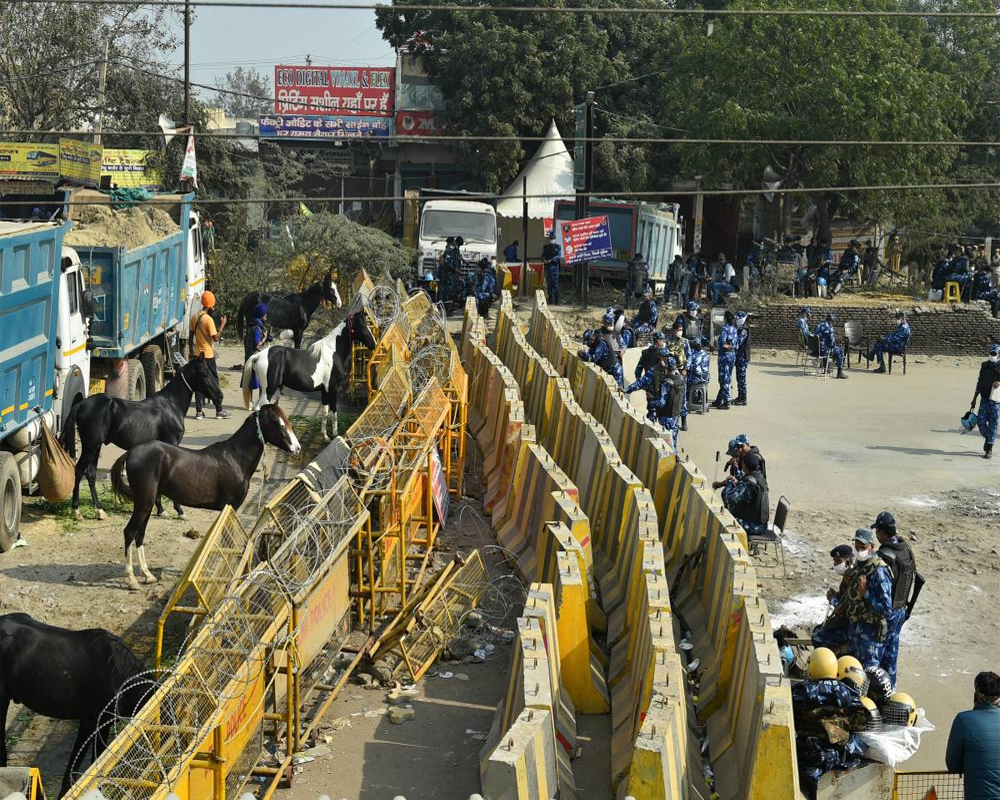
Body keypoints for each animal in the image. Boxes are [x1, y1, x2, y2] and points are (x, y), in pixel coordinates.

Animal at [111, 406, 300, 588]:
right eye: (277, 422)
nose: (297, 448)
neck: (235, 459)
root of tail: (131, 453)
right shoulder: (230, 507)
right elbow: (228, 544)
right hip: (143, 503)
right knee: (130, 532)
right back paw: (132, 580)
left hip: (147, 504)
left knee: (139, 535)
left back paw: (147, 575)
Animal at [240, 310, 376, 440]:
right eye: (362, 325)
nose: (374, 344)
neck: (333, 352)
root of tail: (258, 355)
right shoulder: (333, 389)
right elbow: (334, 411)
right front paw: (335, 434)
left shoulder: (324, 391)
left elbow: (325, 411)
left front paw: (325, 436)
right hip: (269, 390)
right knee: (260, 408)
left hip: (263, 390)